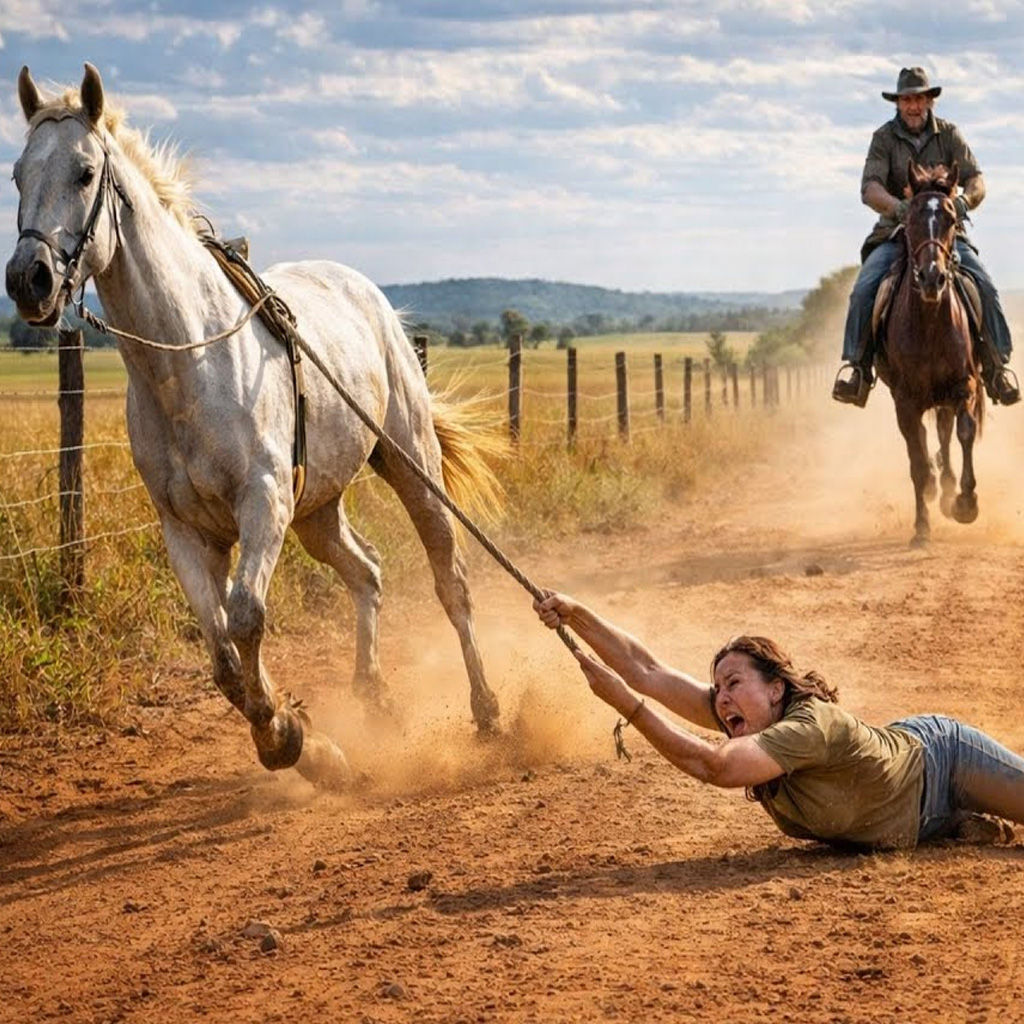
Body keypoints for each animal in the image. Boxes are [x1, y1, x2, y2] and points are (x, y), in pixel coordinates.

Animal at [5, 63, 503, 787]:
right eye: (18, 174)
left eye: (84, 172)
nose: (29, 280)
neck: (191, 362)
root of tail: (375, 300)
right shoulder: (186, 532)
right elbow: (221, 655)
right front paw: (308, 743)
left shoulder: (262, 504)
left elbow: (245, 619)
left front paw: (287, 737)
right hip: (317, 509)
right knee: (368, 573)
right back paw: (374, 697)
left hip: (410, 470)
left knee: (452, 582)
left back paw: (487, 710)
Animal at [874, 160, 984, 547]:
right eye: (910, 219)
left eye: (951, 218)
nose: (932, 278)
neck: (930, 322)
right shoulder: (905, 400)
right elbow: (917, 462)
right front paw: (921, 527)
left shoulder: (964, 385)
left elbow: (965, 432)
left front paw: (966, 503)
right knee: (924, 441)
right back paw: (937, 489)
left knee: (945, 431)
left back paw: (949, 488)